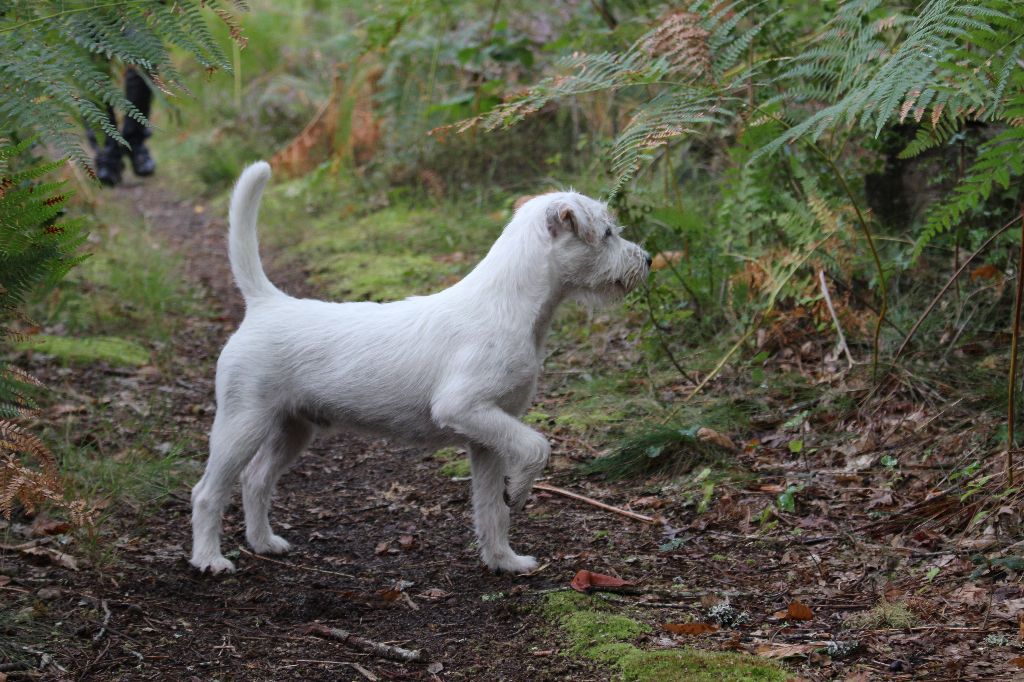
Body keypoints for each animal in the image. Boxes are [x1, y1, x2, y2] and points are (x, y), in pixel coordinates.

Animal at [192, 161, 647, 569]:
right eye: (607, 233)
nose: (646, 259)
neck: (509, 306)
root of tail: (266, 303)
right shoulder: (463, 408)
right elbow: (538, 446)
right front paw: (519, 490)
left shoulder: (487, 437)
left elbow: (490, 509)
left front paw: (504, 561)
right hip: (242, 423)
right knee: (208, 492)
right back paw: (209, 559)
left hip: (293, 427)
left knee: (256, 479)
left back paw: (263, 542)